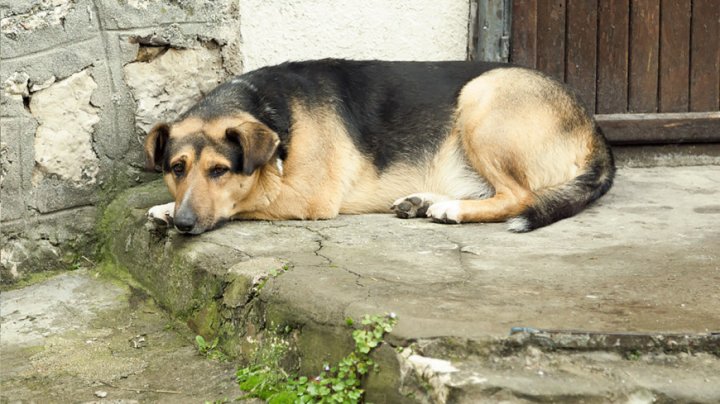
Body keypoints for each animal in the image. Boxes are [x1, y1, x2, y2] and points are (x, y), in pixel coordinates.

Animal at [145, 60, 612, 237]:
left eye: (220, 170)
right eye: (177, 168)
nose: (184, 224)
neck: (267, 108)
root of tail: (595, 130)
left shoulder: (309, 196)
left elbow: (251, 196)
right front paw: (167, 207)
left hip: (481, 97)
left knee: (520, 196)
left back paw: (450, 209)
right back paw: (424, 201)